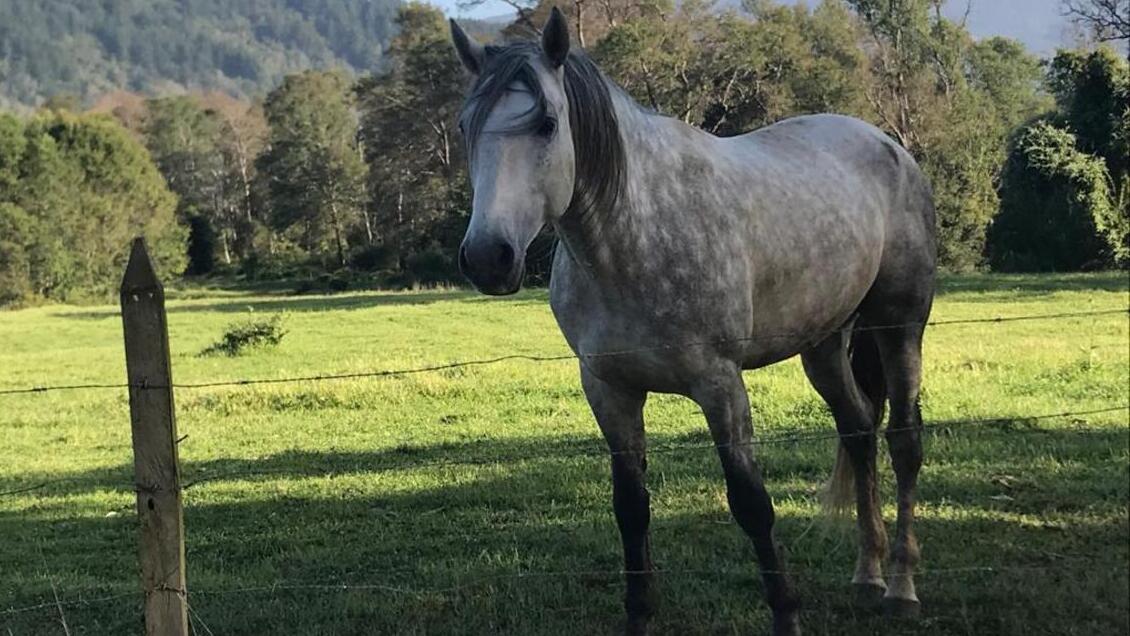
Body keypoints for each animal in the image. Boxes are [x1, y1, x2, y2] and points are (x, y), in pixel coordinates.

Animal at [449, 9, 936, 635]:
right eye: (465, 126)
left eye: (547, 124)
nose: (489, 257)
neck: (633, 237)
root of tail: (888, 145)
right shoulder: (609, 390)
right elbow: (630, 510)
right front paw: (638, 616)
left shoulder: (719, 385)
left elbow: (752, 505)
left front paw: (786, 615)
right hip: (824, 344)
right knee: (857, 431)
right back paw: (867, 574)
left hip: (899, 326)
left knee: (903, 440)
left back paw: (901, 585)